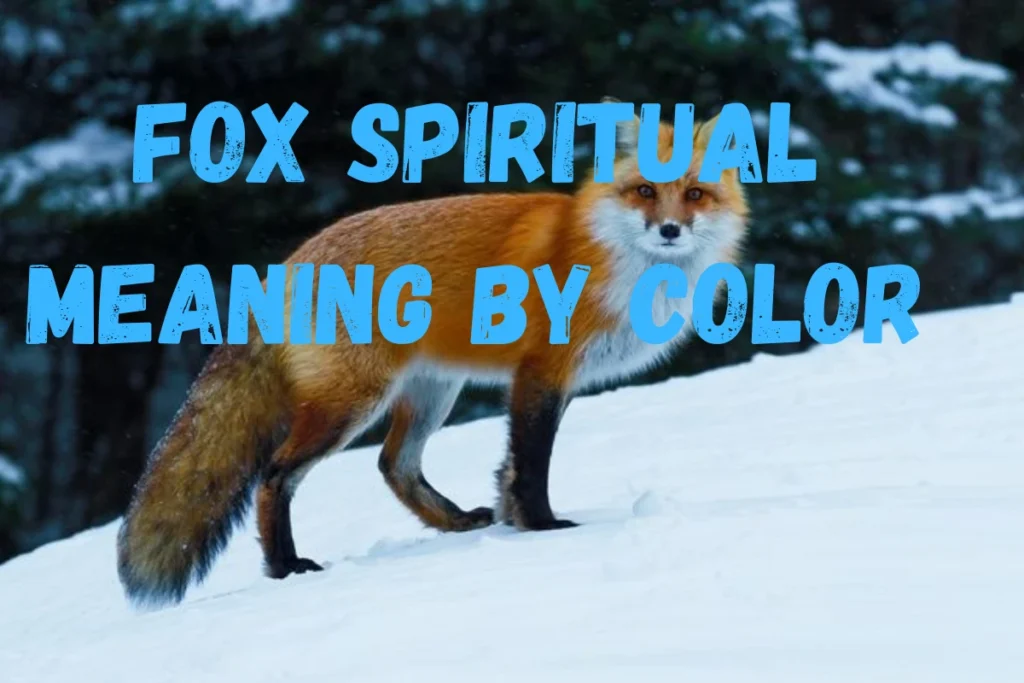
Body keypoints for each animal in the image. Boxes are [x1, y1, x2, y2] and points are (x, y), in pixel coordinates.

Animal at [116, 103, 750, 607]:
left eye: (695, 194)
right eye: (645, 191)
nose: (669, 230)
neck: (615, 261)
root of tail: (288, 263)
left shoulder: (555, 381)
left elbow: (510, 468)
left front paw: (513, 525)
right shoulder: (541, 372)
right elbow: (531, 466)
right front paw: (544, 530)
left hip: (431, 393)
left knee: (393, 465)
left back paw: (456, 523)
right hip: (352, 403)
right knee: (275, 476)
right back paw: (286, 567)